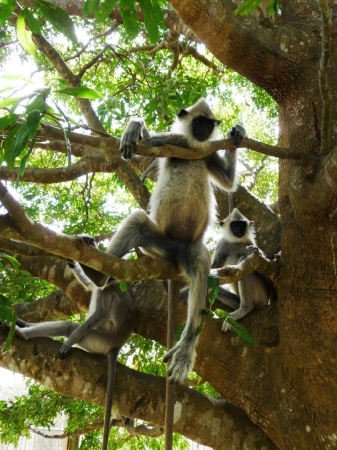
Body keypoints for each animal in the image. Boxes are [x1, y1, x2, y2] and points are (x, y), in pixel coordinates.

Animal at [14, 236, 135, 450]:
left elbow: (98, 315)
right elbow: (88, 286)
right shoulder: (100, 287)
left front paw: (69, 342)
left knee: (70, 327)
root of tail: (117, 346)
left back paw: (24, 333)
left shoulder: (106, 293)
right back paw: (24, 324)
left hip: (97, 340)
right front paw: (74, 259)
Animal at [106, 99, 245, 384]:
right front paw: (134, 126)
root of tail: (174, 253)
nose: (203, 131)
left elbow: (228, 181)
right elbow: (148, 143)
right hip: (159, 244)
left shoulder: (205, 153)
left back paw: (185, 347)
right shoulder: (176, 142)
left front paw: (237, 133)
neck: (193, 147)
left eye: (208, 125)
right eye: (199, 122)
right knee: (138, 220)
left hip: (187, 250)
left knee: (201, 267)